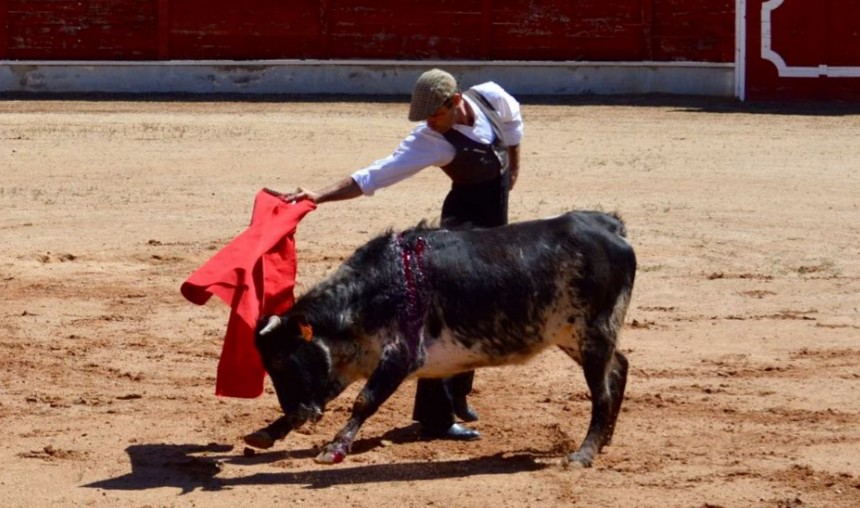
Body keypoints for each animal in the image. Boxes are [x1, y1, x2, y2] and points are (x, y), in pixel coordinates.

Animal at [243, 210, 636, 468]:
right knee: (618, 368)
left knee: (601, 391)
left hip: (594, 332)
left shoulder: (401, 356)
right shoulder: (353, 362)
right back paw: (605, 440)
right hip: (574, 336)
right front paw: (267, 432)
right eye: (267, 364)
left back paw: (584, 453)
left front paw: (334, 448)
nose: (300, 412)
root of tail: (609, 225)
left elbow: (364, 401)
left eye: (281, 360)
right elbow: (330, 391)